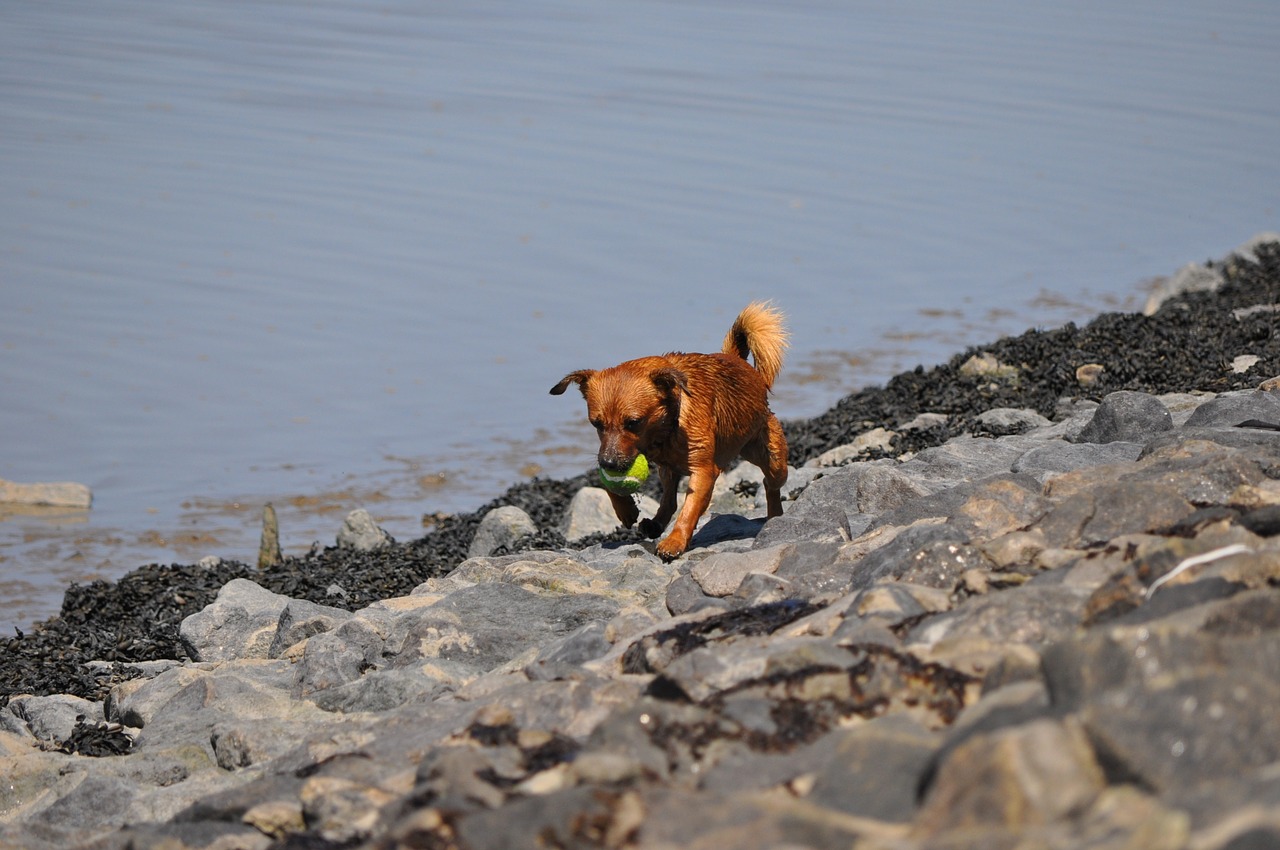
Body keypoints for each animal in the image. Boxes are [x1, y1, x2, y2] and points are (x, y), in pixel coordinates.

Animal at [550, 302, 788, 560]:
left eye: (633, 422)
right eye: (596, 424)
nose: (609, 463)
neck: (669, 424)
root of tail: (740, 362)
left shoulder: (704, 472)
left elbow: (689, 510)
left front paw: (674, 542)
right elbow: (609, 485)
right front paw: (626, 510)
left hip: (771, 459)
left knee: (770, 484)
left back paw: (775, 518)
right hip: (667, 470)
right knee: (669, 500)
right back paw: (654, 524)